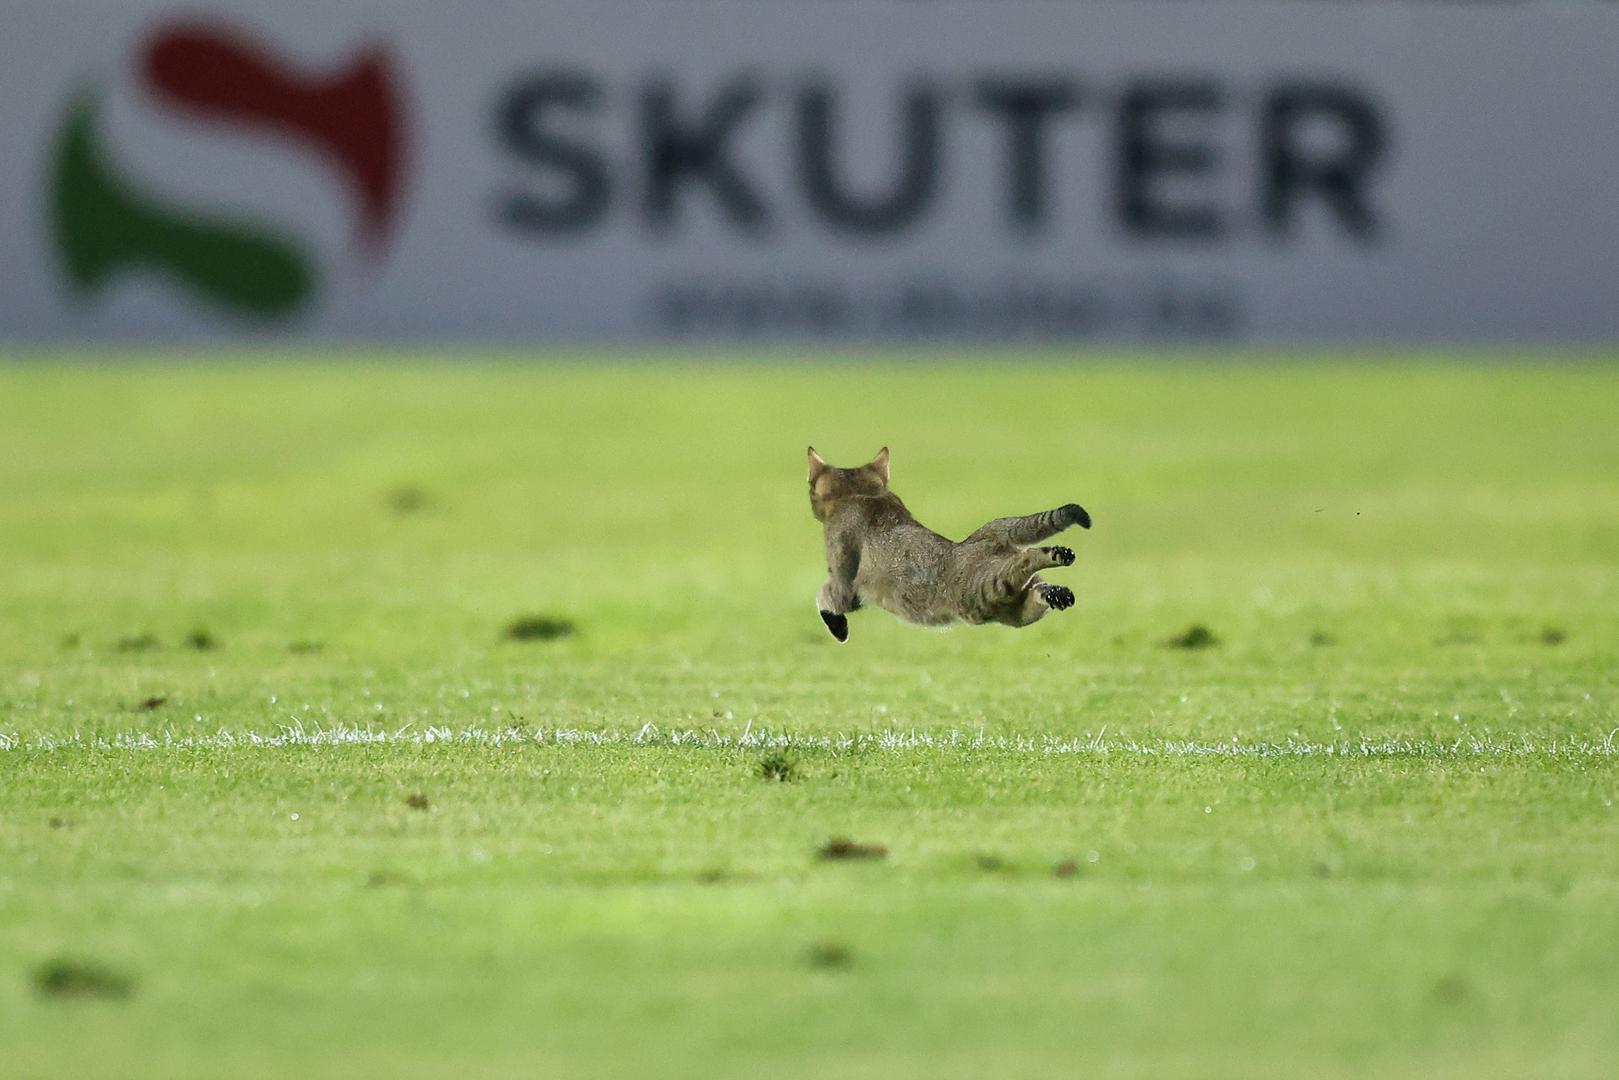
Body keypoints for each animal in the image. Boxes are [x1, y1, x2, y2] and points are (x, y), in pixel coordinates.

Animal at [806, 446, 1094, 641]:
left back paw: (1058, 554)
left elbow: (825, 595)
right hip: (1011, 610)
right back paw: (1059, 593)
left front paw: (837, 626)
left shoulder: (843, 578)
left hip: (983, 588)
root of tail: (985, 537)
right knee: (1034, 591)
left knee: (1026, 559)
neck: (863, 495)